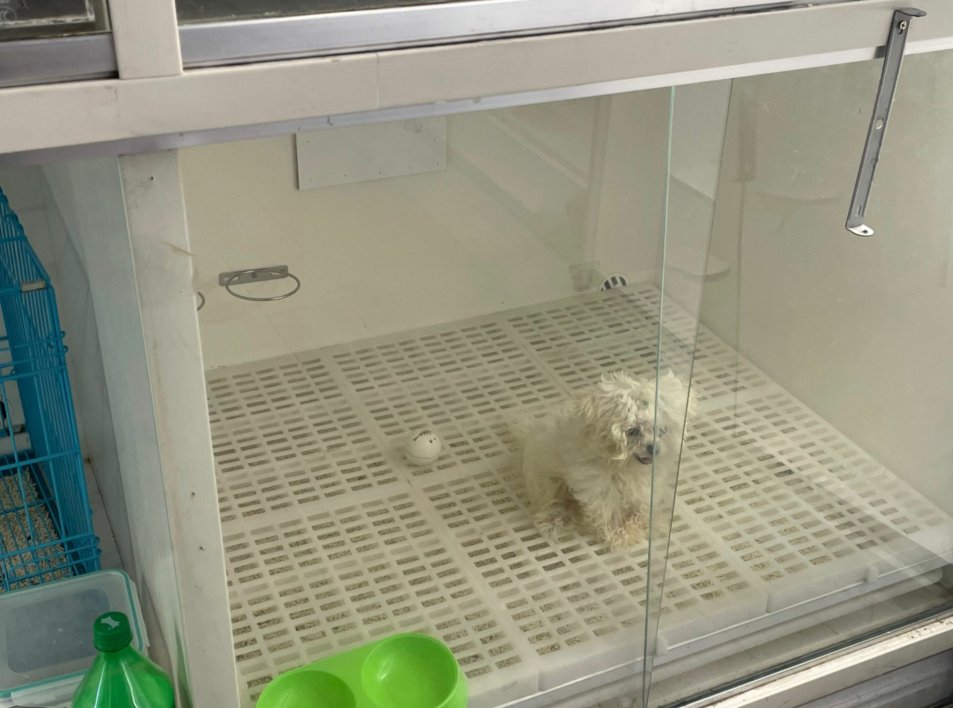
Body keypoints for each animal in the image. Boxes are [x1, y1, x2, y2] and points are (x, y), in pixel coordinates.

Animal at [520, 370, 694, 550]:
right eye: (632, 431)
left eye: (661, 429)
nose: (654, 449)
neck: (624, 466)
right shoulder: (597, 486)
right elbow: (608, 510)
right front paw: (620, 534)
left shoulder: (645, 485)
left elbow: (641, 504)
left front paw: (643, 523)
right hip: (545, 478)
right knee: (551, 499)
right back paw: (555, 518)